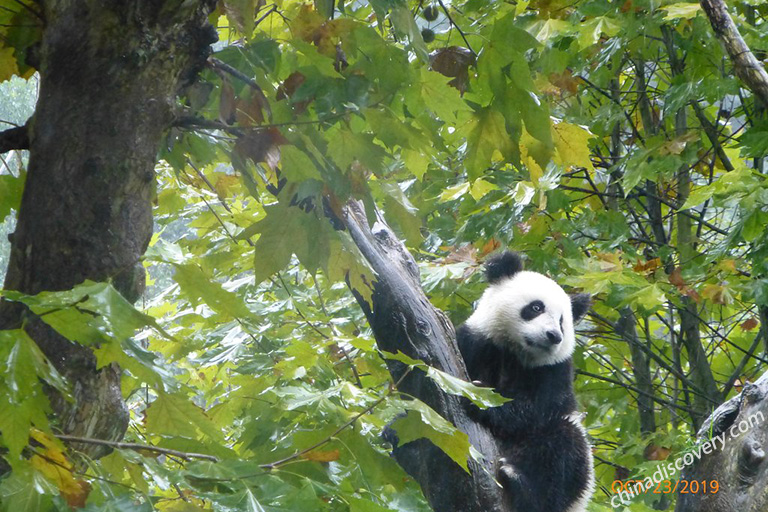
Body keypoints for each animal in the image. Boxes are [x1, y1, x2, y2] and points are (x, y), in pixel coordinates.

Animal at [456, 251, 592, 512]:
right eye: (536, 307)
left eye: (562, 321)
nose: (554, 336)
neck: (516, 351)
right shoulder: (475, 341)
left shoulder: (554, 372)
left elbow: (534, 409)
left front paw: (479, 398)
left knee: (563, 448)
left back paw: (521, 482)